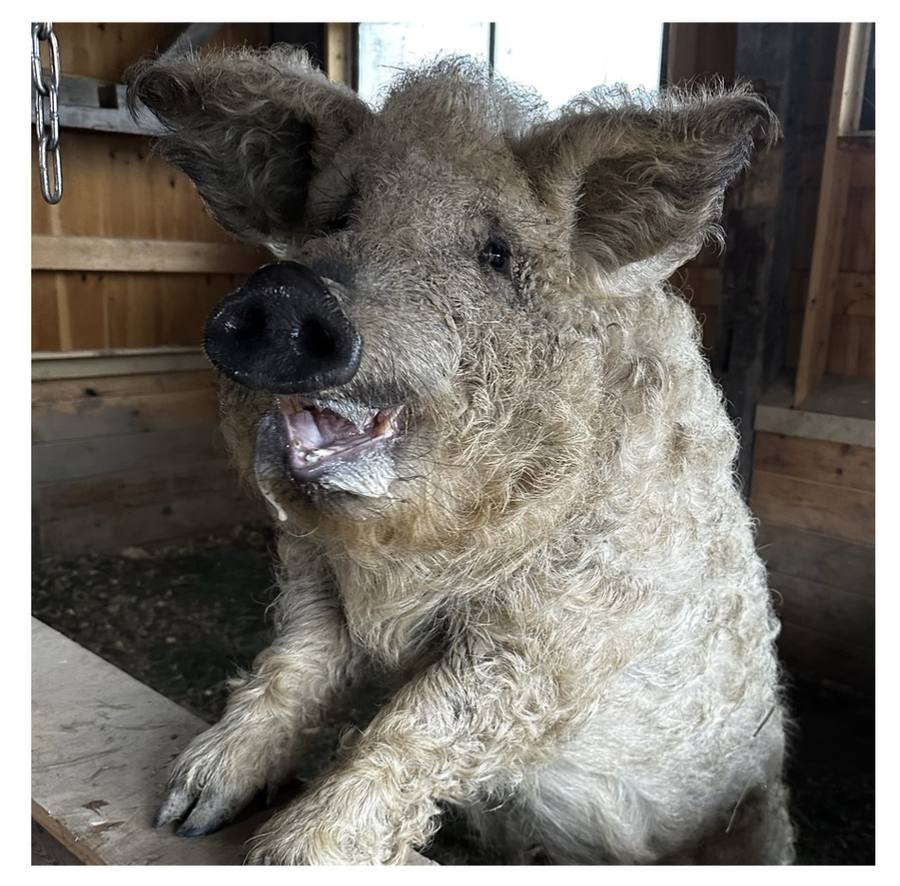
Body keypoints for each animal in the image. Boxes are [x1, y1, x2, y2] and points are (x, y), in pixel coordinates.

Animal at [128, 47, 794, 864]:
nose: (288, 293)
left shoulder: (566, 632)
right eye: (336, 217)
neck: (406, 559)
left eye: (496, 253)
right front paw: (182, 811)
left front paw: (285, 856)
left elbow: (424, 719)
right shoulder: (312, 578)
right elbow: (296, 663)